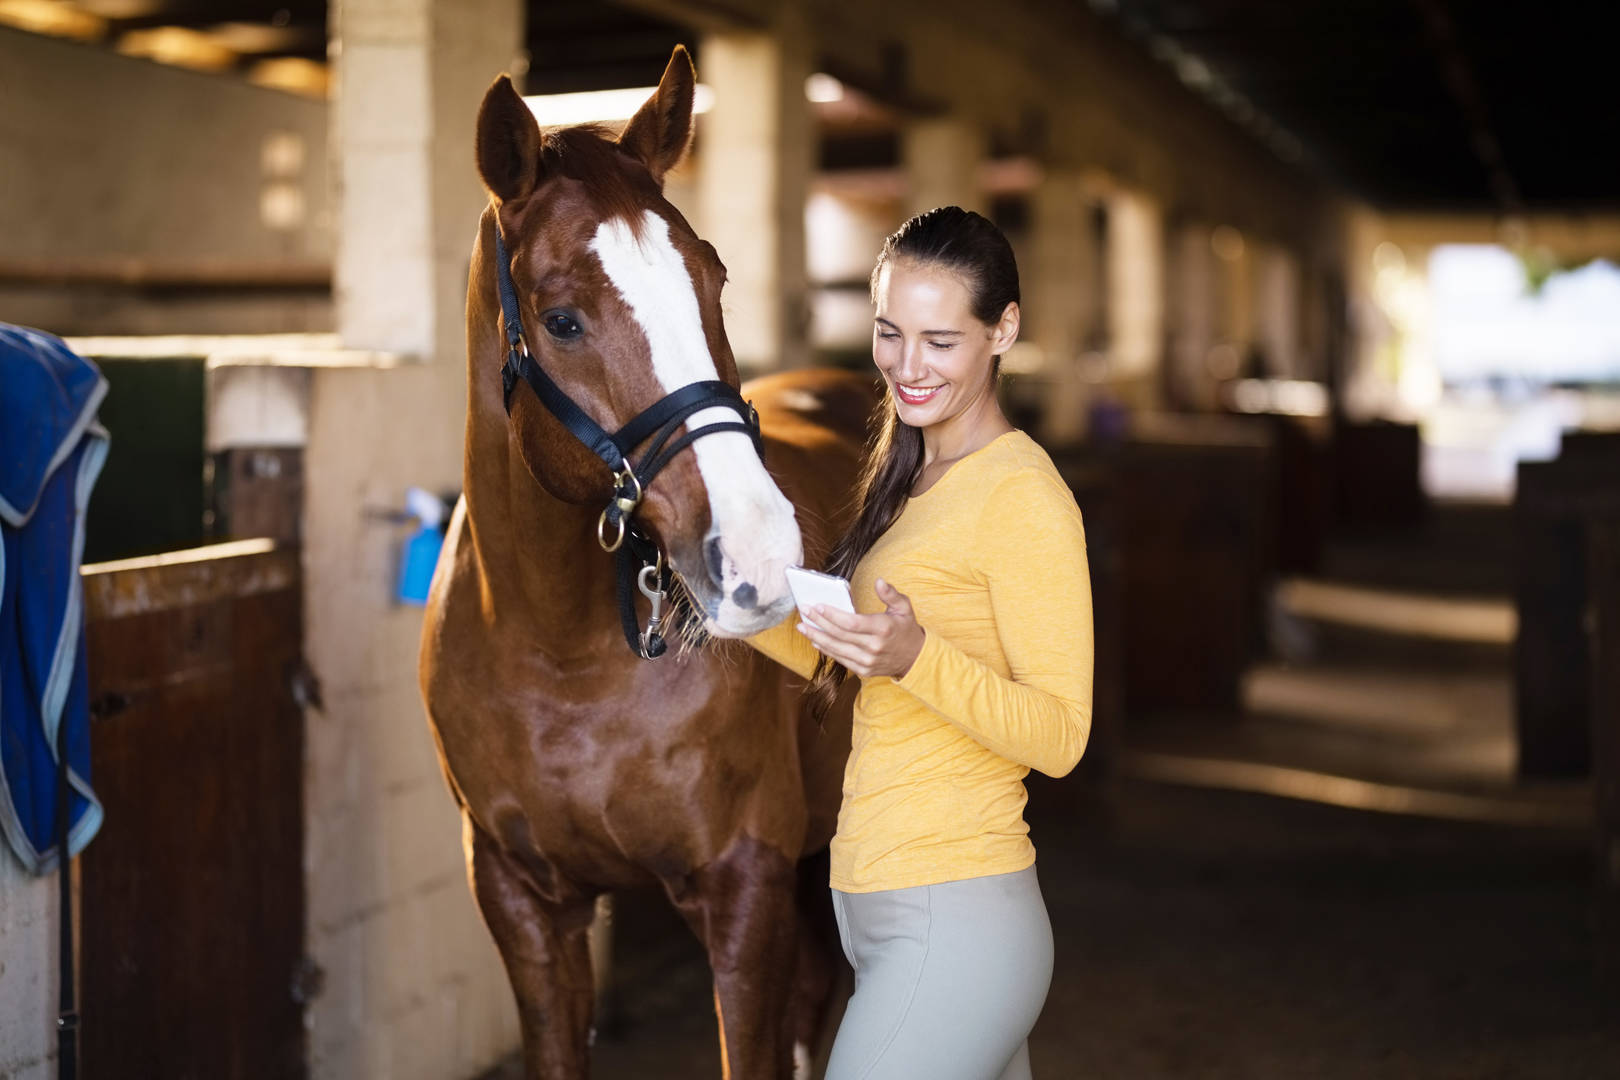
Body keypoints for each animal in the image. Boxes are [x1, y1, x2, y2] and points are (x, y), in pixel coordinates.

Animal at [419, 47, 874, 1079]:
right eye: (561, 319)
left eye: (714, 277)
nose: (758, 554)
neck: (560, 655)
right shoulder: (523, 900)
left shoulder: (744, 884)